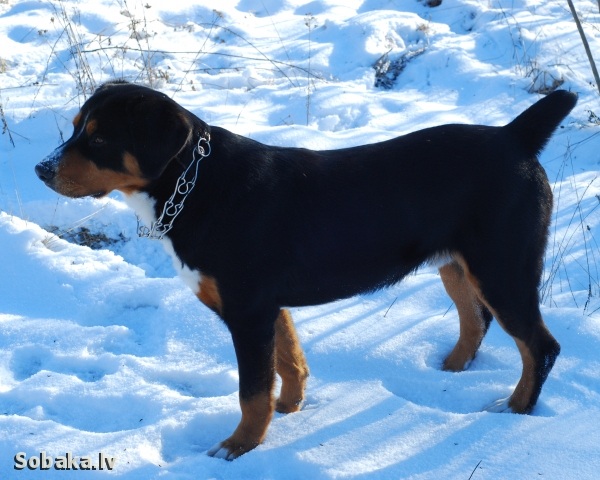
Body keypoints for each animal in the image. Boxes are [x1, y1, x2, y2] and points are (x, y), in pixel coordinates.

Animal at [36, 80, 576, 460]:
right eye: (75, 127)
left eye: (100, 139)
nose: (42, 169)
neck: (198, 185)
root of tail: (514, 137)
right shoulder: (268, 306)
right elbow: (288, 361)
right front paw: (289, 410)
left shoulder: (248, 311)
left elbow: (252, 390)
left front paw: (238, 447)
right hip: (458, 266)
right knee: (476, 320)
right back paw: (450, 370)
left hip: (502, 267)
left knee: (540, 346)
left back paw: (514, 409)